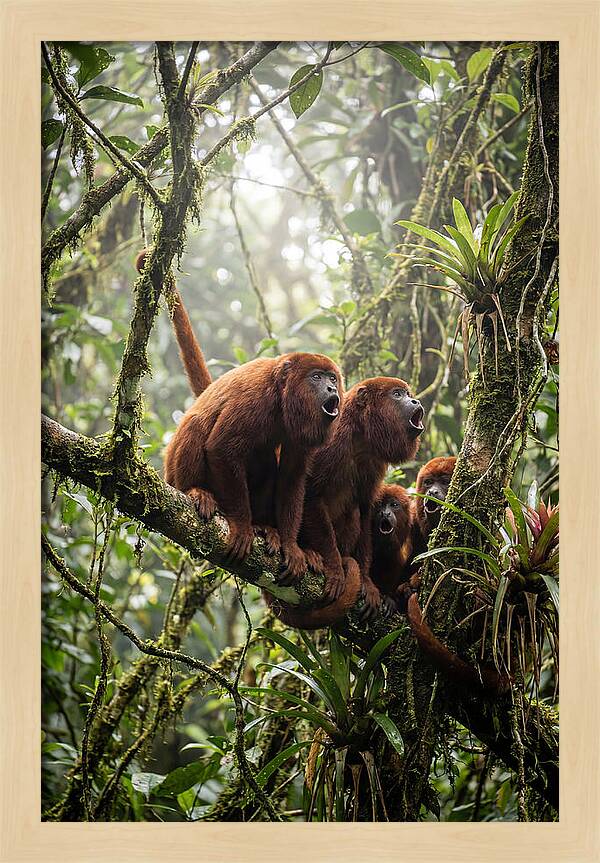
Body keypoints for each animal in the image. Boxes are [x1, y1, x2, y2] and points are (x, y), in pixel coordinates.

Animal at [135, 250, 344, 578]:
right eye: (316, 377)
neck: (282, 396)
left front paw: (290, 545)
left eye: (332, 378)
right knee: (197, 426)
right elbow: (221, 447)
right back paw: (198, 493)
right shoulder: (255, 398)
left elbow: (292, 477)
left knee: (267, 461)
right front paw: (243, 527)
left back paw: (266, 529)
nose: (332, 389)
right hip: (174, 473)